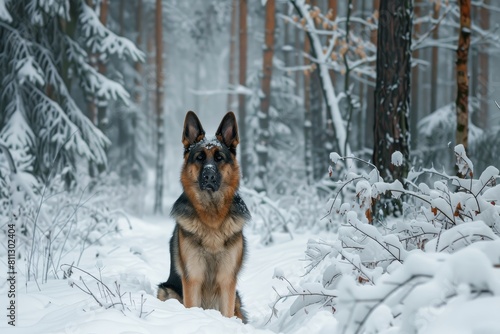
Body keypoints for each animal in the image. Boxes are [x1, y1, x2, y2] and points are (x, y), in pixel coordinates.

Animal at [157, 111, 249, 322]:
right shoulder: (193, 278)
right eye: (199, 157)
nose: (208, 176)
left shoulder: (227, 281)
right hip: (165, 291)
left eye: (219, 158)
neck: (212, 216)